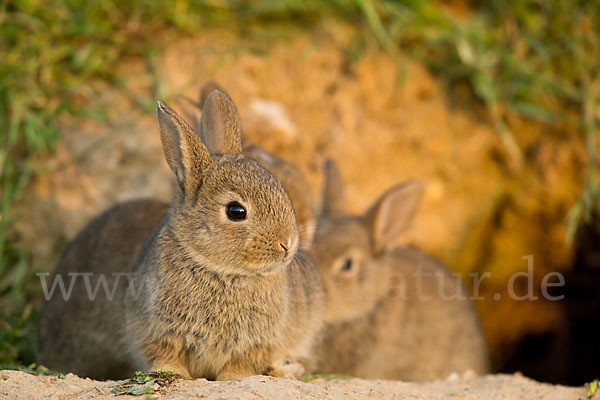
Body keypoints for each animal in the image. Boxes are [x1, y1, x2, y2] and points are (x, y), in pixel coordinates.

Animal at [37, 91, 324, 382]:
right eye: (236, 211)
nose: (288, 244)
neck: (221, 270)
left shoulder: (257, 342)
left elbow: (240, 365)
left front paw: (231, 379)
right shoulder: (158, 329)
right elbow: (167, 355)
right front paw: (174, 373)